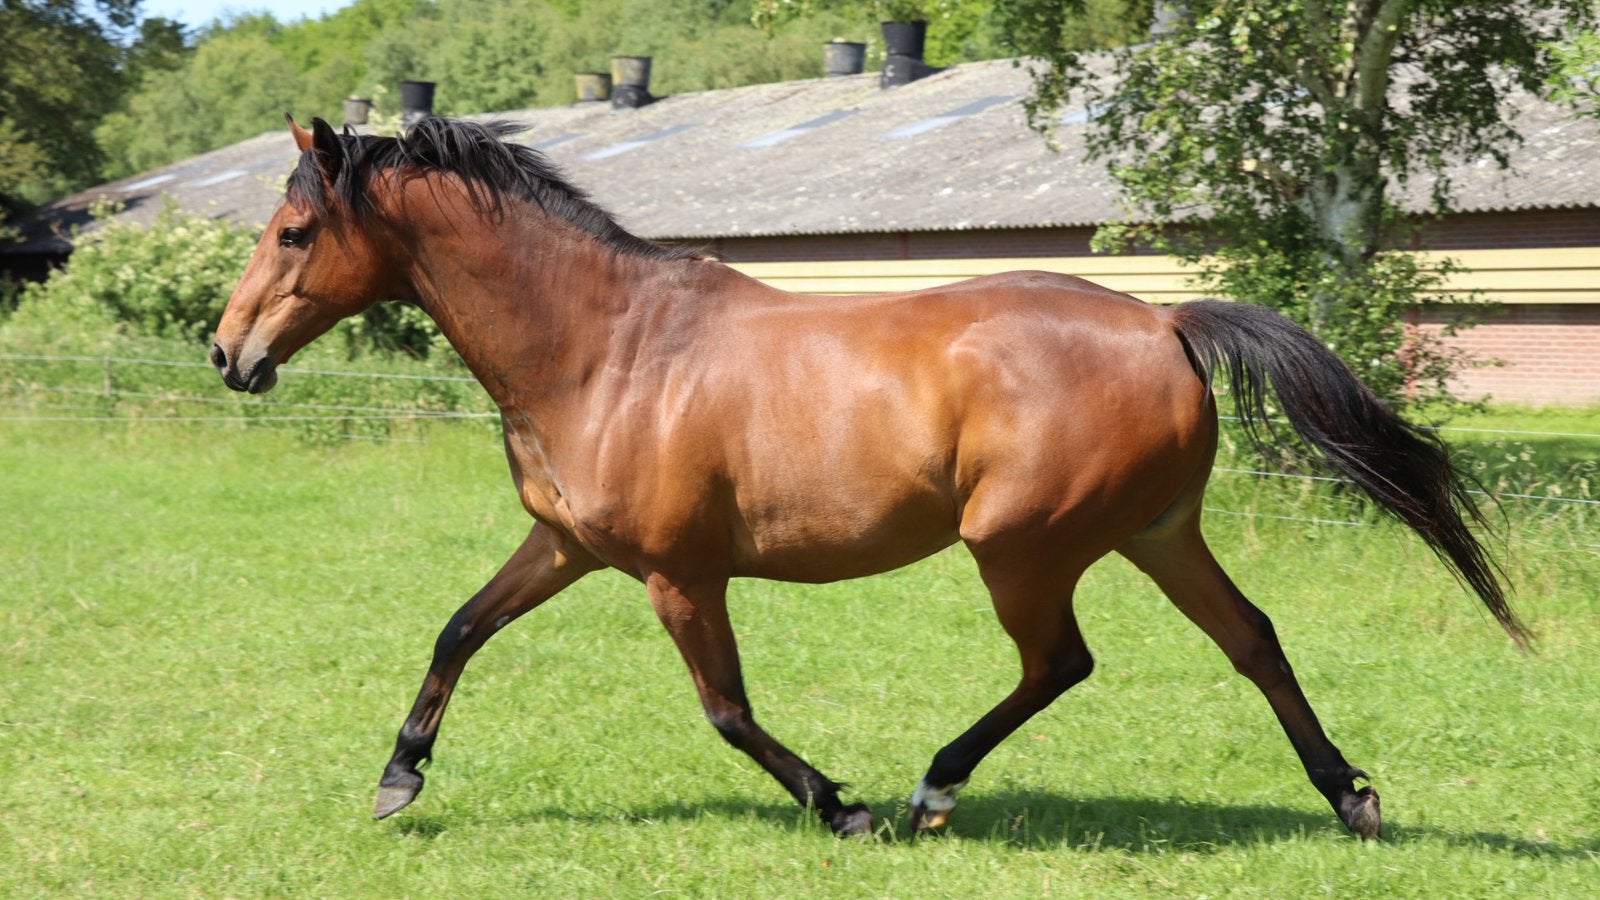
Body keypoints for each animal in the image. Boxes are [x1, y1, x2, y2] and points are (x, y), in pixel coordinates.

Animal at [211, 115, 1524, 841]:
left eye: (292, 234)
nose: (228, 355)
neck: (606, 350)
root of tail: (1166, 324)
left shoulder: (680, 577)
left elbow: (727, 710)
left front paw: (838, 804)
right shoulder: (569, 548)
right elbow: (458, 630)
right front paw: (398, 779)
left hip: (1023, 546)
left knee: (1061, 663)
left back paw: (931, 791)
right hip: (1157, 532)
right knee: (1251, 638)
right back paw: (1348, 796)